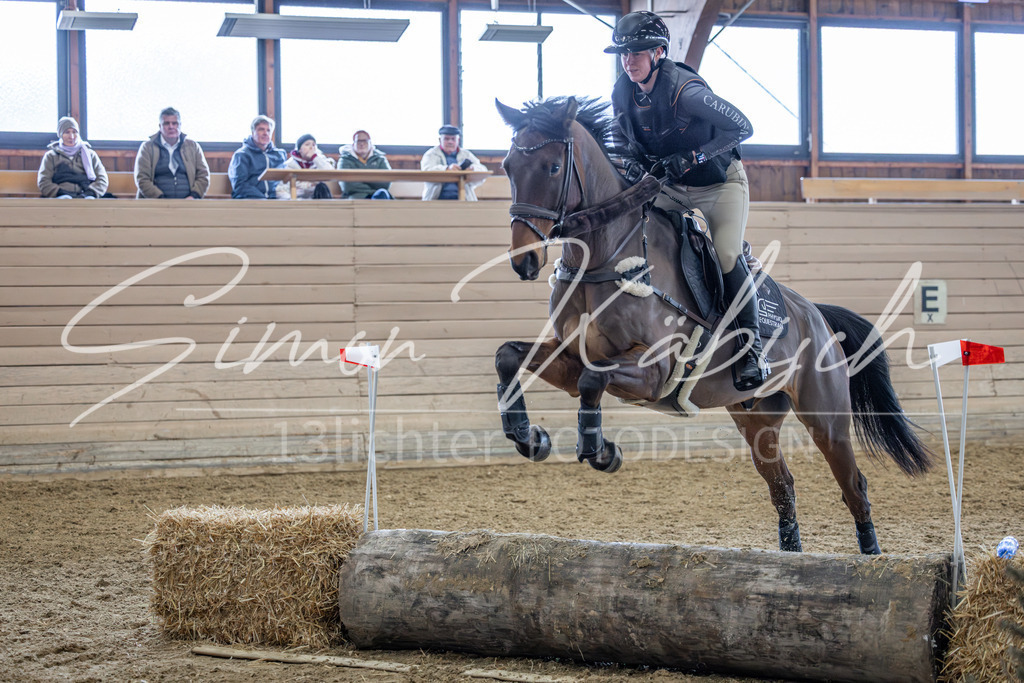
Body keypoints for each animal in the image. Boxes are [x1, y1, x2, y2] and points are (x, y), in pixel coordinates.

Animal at [492, 96, 932, 554]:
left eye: (552, 168)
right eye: (507, 166)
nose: (524, 261)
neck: (604, 255)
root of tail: (816, 315)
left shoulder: (653, 370)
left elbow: (593, 381)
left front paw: (602, 452)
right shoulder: (573, 356)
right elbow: (511, 356)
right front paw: (529, 437)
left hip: (826, 419)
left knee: (853, 484)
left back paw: (871, 554)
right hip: (756, 419)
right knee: (783, 485)